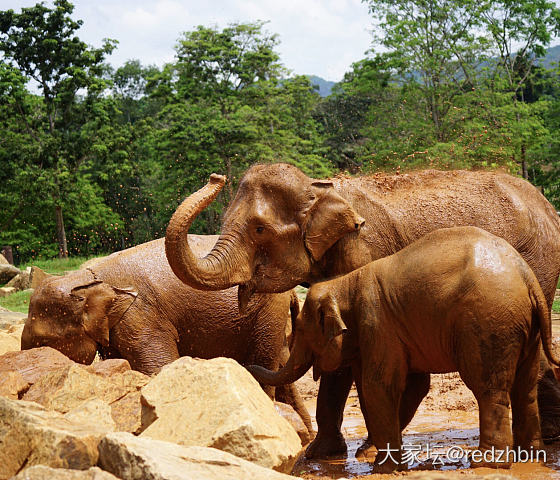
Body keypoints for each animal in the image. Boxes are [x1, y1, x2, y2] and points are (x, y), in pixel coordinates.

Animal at [248, 226, 560, 472]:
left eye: (299, 329)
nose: (247, 365)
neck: (345, 283)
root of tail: (526, 276)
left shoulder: (377, 321)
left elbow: (379, 385)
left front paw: (382, 466)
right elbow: (413, 385)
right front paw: (378, 455)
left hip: (489, 322)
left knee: (489, 388)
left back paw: (487, 463)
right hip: (524, 327)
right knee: (525, 387)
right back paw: (530, 456)